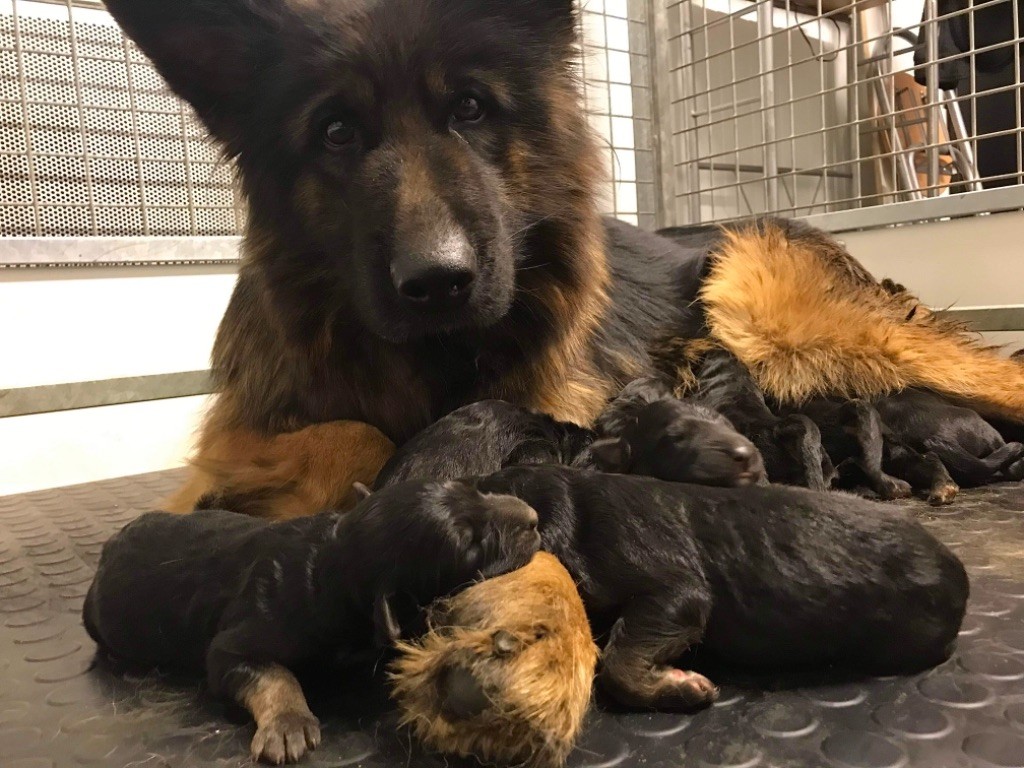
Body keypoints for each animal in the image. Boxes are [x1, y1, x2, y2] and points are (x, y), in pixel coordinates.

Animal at [83, 481, 540, 765]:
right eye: (472, 544)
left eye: (475, 489)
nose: (534, 518)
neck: (329, 562)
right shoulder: (235, 644)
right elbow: (274, 674)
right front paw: (288, 724)